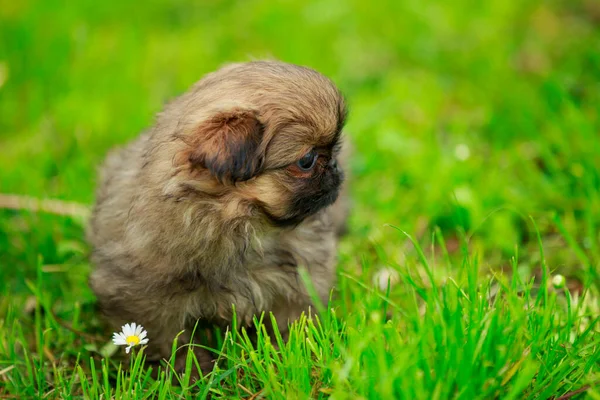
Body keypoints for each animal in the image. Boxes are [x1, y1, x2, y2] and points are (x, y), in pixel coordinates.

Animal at [86, 60, 350, 372]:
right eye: (307, 160)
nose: (336, 167)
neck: (243, 223)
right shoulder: (144, 297)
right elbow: (170, 341)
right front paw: (190, 371)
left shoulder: (300, 278)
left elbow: (292, 320)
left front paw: (288, 354)